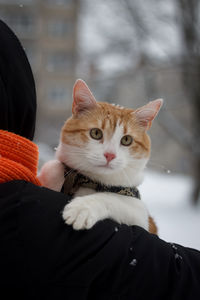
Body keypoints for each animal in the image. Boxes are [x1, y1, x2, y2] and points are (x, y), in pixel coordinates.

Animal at [38, 78, 162, 233]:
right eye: (96, 133)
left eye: (126, 140)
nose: (110, 155)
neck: (90, 181)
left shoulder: (141, 215)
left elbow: (112, 198)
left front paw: (82, 208)